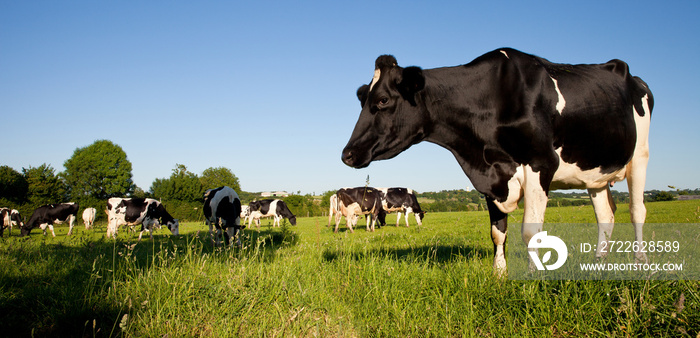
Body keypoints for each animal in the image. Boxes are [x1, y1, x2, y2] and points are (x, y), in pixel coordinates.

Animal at [342, 48, 652, 274]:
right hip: (596, 174)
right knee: (606, 216)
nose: (347, 154)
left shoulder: (541, 163)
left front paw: (533, 277)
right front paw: (499, 274)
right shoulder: (492, 176)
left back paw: (640, 263)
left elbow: (531, 232)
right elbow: (497, 233)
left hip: (640, 156)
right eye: (363, 100)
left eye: (383, 100)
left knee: (637, 211)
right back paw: (598, 264)